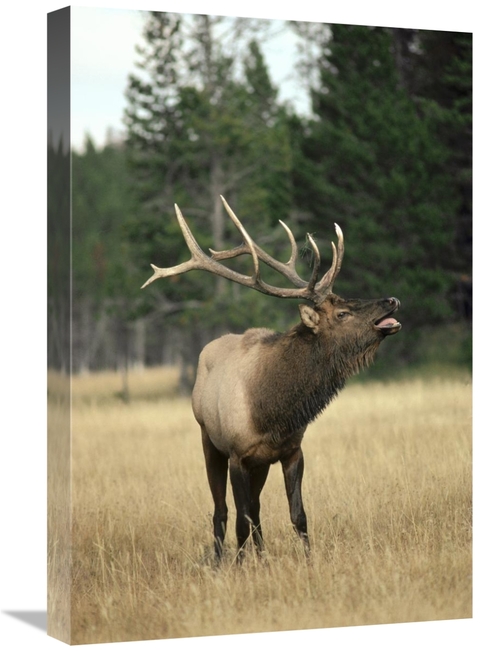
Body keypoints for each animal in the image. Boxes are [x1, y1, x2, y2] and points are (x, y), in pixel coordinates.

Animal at [141, 196, 402, 561]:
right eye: (342, 313)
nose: (391, 299)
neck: (272, 411)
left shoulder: (291, 450)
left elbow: (297, 515)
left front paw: (307, 560)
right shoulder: (237, 454)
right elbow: (241, 518)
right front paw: (240, 565)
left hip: (260, 463)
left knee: (257, 508)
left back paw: (260, 556)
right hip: (209, 440)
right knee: (222, 510)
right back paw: (221, 558)